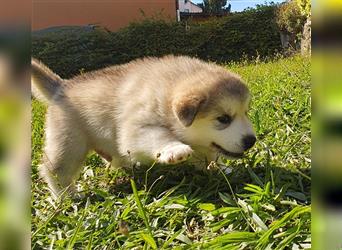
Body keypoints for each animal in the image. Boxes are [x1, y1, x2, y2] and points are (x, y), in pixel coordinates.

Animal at [32, 55, 255, 198]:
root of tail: (61, 86)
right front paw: (175, 149)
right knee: (54, 170)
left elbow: (208, 157)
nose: (251, 141)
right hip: (70, 144)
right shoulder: (137, 128)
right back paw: (65, 197)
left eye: (246, 112)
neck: (167, 89)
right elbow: (159, 136)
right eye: (223, 119)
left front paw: (220, 169)